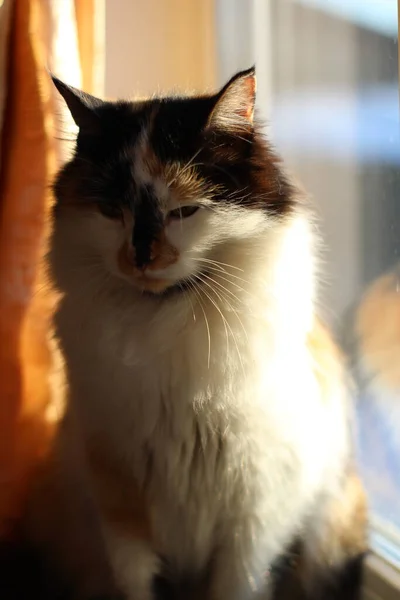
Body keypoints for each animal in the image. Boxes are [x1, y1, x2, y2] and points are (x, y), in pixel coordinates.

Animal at [37, 69, 366, 600]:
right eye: (111, 211)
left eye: (185, 212)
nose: (141, 258)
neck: (163, 323)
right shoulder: (118, 501)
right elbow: (135, 583)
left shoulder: (253, 520)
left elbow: (232, 585)